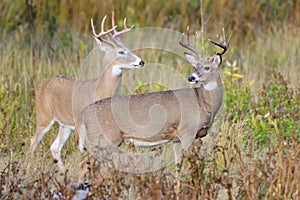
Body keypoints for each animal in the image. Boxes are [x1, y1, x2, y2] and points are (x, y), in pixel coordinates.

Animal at [30, 11, 144, 170]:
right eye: (121, 52)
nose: (141, 62)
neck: (100, 90)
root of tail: (41, 84)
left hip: (65, 124)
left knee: (54, 147)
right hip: (43, 116)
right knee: (33, 141)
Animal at [76, 27, 231, 181]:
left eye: (207, 67)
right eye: (194, 66)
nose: (191, 77)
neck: (203, 103)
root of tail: (84, 114)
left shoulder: (176, 139)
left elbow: (178, 167)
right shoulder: (187, 132)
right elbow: (195, 167)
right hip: (104, 139)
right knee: (83, 166)